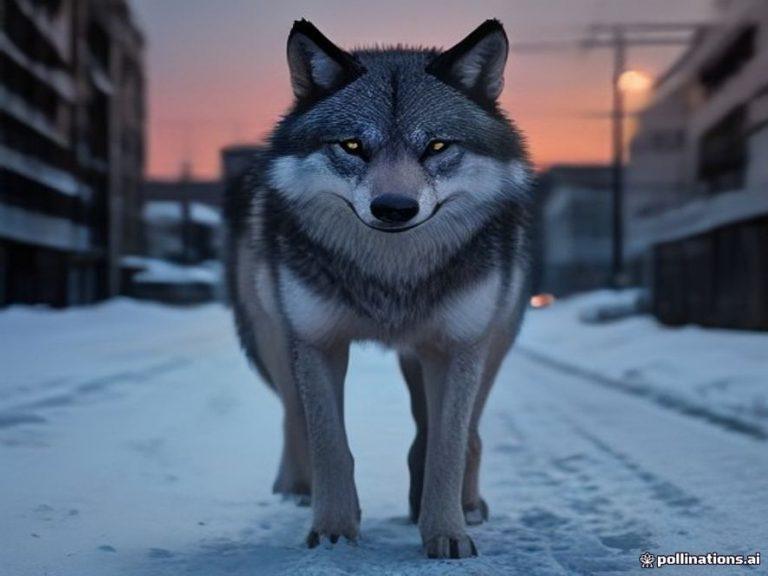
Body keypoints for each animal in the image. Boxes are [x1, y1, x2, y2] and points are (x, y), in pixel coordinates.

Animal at [225, 18, 533, 559]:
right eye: (352, 145)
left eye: (436, 146)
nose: (393, 208)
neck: (391, 277)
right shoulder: (318, 342)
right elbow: (329, 444)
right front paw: (333, 533)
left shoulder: (458, 346)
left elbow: (447, 447)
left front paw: (447, 534)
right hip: (273, 340)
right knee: (293, 416)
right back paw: (296, 490)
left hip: (487, 341)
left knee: (466, 430)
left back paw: (465, 505)